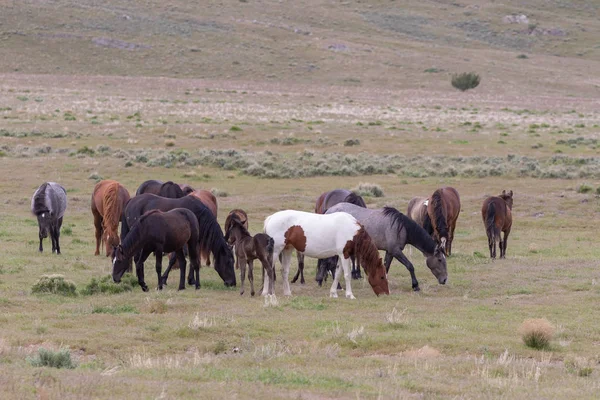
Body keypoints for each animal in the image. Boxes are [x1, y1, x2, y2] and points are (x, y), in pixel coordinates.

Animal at [262, 209, 390, 300]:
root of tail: (271, 218)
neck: (352, 230)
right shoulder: (345, 254)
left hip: (287, 250)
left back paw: (287, 293)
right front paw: (350, 295)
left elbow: (338, 274)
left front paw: (333, 293)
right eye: (382, 276)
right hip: (275, 251)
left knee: (284, 271)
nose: (386, 294)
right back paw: (266, 293)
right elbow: (347, 275)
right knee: (268, 270)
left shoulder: (341, 255)